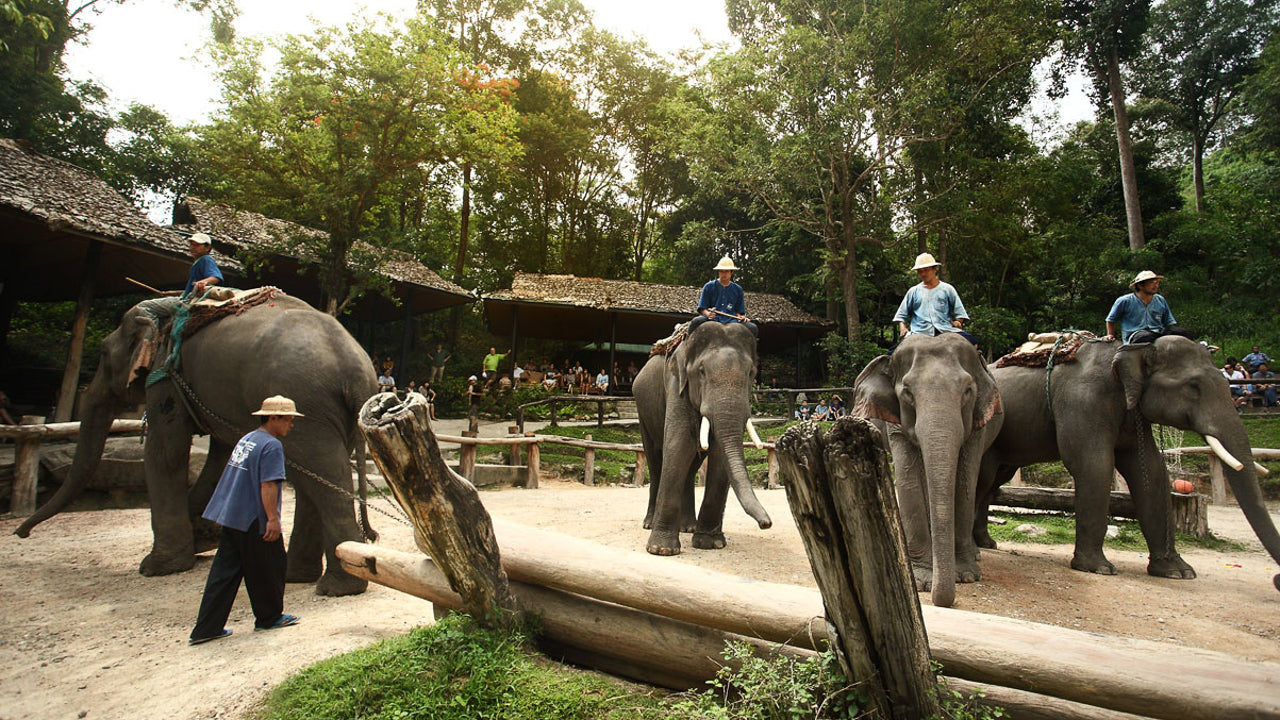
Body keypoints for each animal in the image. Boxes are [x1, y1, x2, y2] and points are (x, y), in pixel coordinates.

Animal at [15, 293, 378, 596]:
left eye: (104, 355)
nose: (21, 534)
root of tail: (357, 368)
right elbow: (221, 452)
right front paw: (202, 540)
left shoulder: (166, 377)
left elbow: (167, 452)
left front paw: (157, 567)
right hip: (318, 413)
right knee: (310, 475)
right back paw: (299, 577)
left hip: (302, 403)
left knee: (320, 476)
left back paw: (335, 586)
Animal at [634, 321, 771, 556]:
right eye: (701, 371)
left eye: (751, 373)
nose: (766, 523)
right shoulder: (677, 386)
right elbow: (677, 446)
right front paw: (661, 550)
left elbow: (719, 457)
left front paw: (710, 544)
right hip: (643, 411)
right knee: (655, 460)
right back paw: (649, 524)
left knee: (691, 467)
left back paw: (688, 527)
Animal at [851, 333, 1004, 607]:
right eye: (907, 393)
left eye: (968, 390)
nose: (941, 601)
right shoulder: (897, 424)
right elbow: (909, 479)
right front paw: (923, 580)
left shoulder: (977, 425)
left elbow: (965, 482)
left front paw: (966, 576)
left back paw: (974, 554)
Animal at [975, 335, 1280, 590]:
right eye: (1193, 386)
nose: (1276, 579)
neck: (1132, 348)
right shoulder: (1082, 402)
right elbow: (1093, 466)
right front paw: (1098, 569)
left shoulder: (1133, 416)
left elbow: (1153, 474)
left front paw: (1178, 573)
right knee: (986, 481)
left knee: (993, 483)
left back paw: (988, 544)